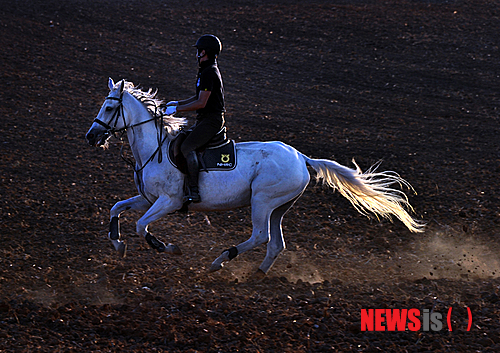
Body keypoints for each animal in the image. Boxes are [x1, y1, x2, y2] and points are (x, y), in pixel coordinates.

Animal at [87, 78, 426, 274]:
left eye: (109, 108)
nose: (91, 136)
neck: (154, 148)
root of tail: (301, 158)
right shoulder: (149, 199)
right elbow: (116, 208)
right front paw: (117, 244)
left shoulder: (168, 201)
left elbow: (141, 226)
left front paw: (167, 247)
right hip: (279, 206)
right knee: (276, 243)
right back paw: (258, 274)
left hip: (262, 201)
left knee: (262, 236)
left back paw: (220, 260)